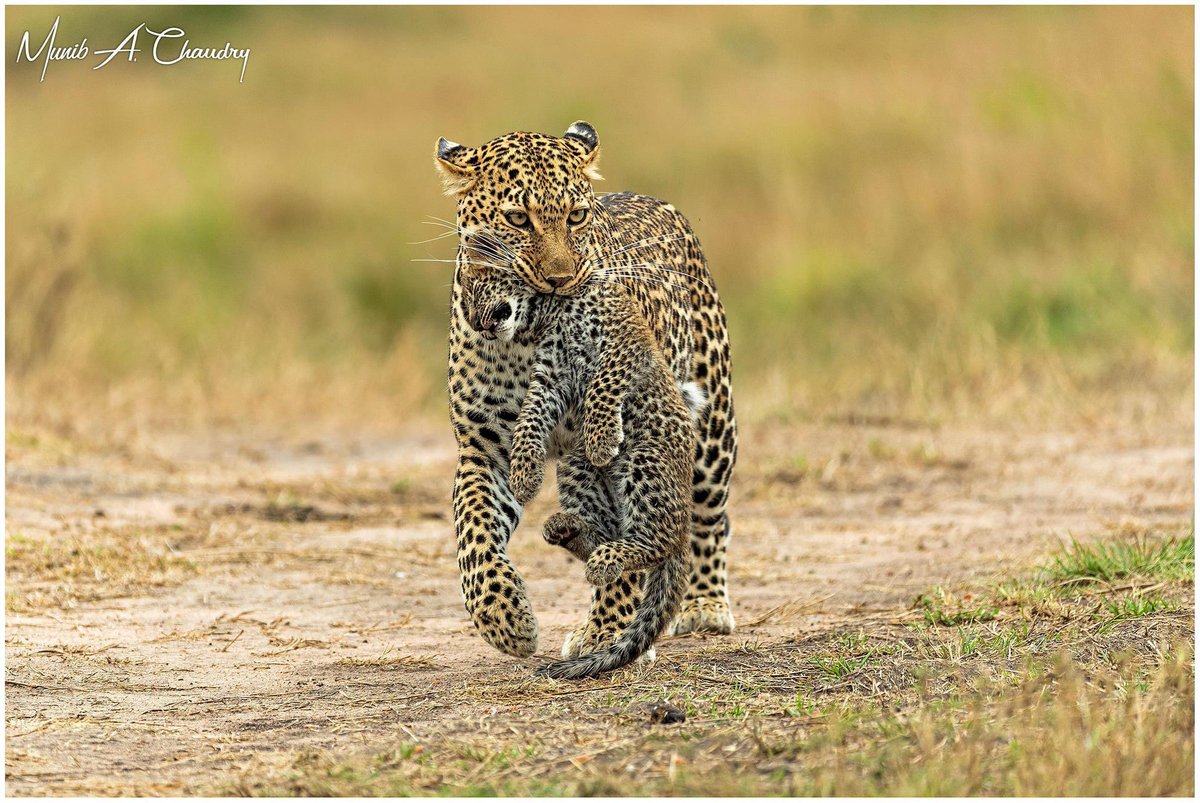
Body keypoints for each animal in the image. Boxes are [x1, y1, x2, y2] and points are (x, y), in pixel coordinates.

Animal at [459, 262, 702, 677]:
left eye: (485, 281)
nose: (477, 323)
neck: (551, 312)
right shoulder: (551, 376)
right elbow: (530, 415)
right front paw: (524, 473)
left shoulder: (625, 343)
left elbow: (604, 382)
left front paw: (603, 437)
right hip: (578, 468)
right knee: (610, 534)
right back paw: (567, 529)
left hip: (646, 462)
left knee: (656, 541)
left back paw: (605, 556)